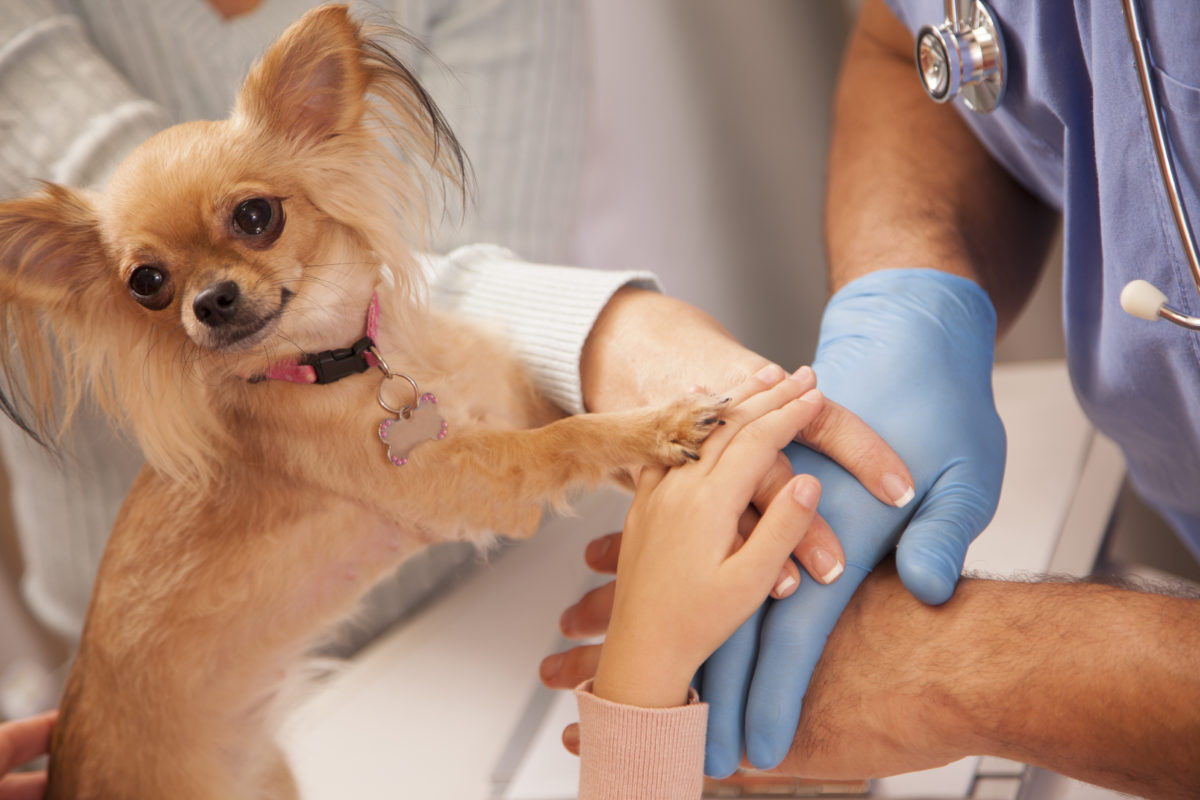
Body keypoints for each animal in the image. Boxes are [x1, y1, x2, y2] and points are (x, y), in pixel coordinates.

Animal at [0, 4, 720, 796]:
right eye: (147, 284)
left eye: (256, 217)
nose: (209, 300)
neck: (344, 361)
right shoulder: (475, 483)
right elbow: (566, 441)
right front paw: (657, 428)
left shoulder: (498, 400)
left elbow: (566, 419)